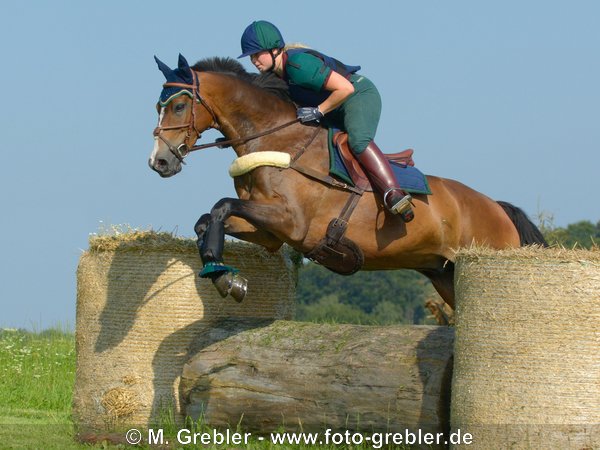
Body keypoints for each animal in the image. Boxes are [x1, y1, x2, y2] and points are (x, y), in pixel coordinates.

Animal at [150, 52, 548, 306]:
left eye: (180, 106)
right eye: (159, 106)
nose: (159, 162)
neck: (277, 140)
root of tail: (497, 207)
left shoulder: (291, 221)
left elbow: (221, 206)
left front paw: (224, 276)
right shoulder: (270, 232)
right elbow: (206, 221)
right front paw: (222, 276)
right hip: (444, 274)